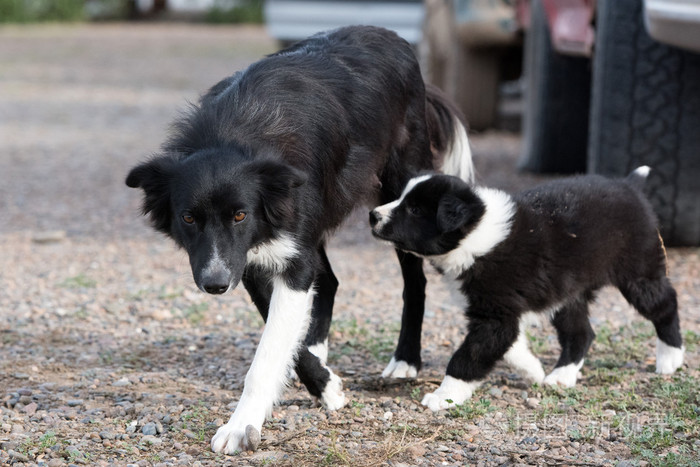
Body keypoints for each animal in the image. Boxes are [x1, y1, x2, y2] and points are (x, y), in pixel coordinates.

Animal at [126, 25, 476, 454]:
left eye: (240, 214)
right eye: (188, 218)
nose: (215, 285)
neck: (234, 134)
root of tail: (388, 34)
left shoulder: (278, 255)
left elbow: (265, 357)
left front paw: (241, 426)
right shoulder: (252, 259)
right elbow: (281, 333)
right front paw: (323, 382)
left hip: (402, 195)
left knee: (414, 279)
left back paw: (405, 360)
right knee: (329, 281)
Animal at [372, 170, 684, 412]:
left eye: (414, 210)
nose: (372, 215)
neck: (475, 230)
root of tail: (629, 185)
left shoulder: (495, 313)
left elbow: (468, 355)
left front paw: (444, 396)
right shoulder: (500, 311)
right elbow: (509, 344)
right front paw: (532, 368)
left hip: (639, 274)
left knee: (666, 304)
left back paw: (671, 358)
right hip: (567, 294)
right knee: (581, 333)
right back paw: (561, 375)